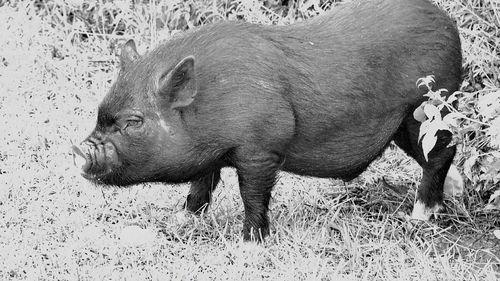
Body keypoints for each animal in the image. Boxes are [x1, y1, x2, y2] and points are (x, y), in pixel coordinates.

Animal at [72, 0, 462, 241]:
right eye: (101, 114)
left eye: (134, 122)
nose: (79, 151)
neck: (211, 101)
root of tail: (449, 24)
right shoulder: (210, 153)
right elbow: (201, 184)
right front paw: (180, 221)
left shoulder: (260, 148)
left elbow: (251, 194)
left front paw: (251, 244)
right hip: (404, 126)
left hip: (428, 109)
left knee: (441, 154)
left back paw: (420, 216)